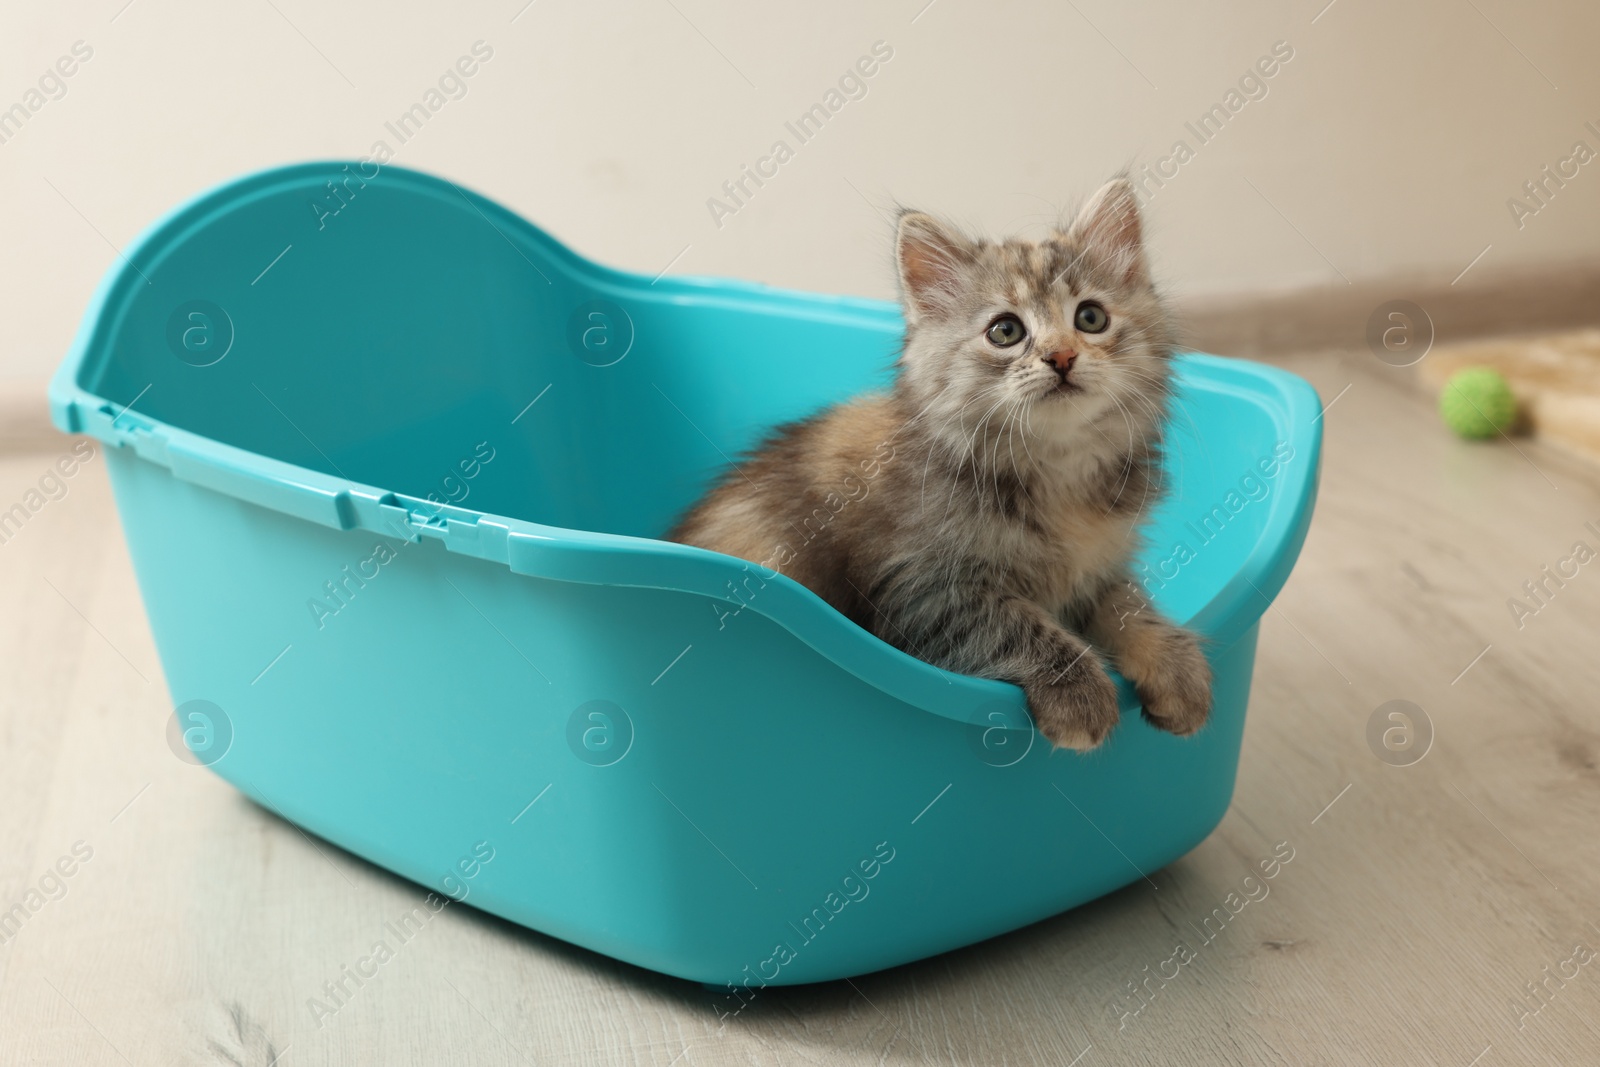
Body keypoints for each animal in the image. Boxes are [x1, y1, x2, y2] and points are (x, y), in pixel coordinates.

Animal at [668, 179, 1203, 751]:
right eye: (1005, 331)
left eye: (1091, 318)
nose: (1061, 357)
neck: (1056, 470)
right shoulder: (925, 590)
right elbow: (1018, 624)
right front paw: (1080, 693)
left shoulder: (1101, 565)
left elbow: (1130, 606)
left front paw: (1178, 670)